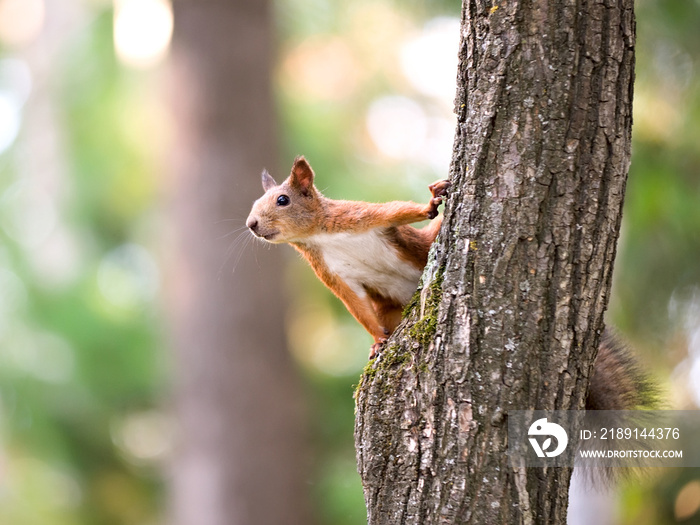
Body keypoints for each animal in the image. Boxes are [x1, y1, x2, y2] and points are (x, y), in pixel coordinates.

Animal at [249, 154, 452, 354]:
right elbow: (355, 302)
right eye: (255, 203)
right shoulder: (331, 270)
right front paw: (378, 340)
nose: (251, 224)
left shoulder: (357, 216)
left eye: (282, 200)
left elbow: (395, 211)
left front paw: (429, 206)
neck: (318, 236)